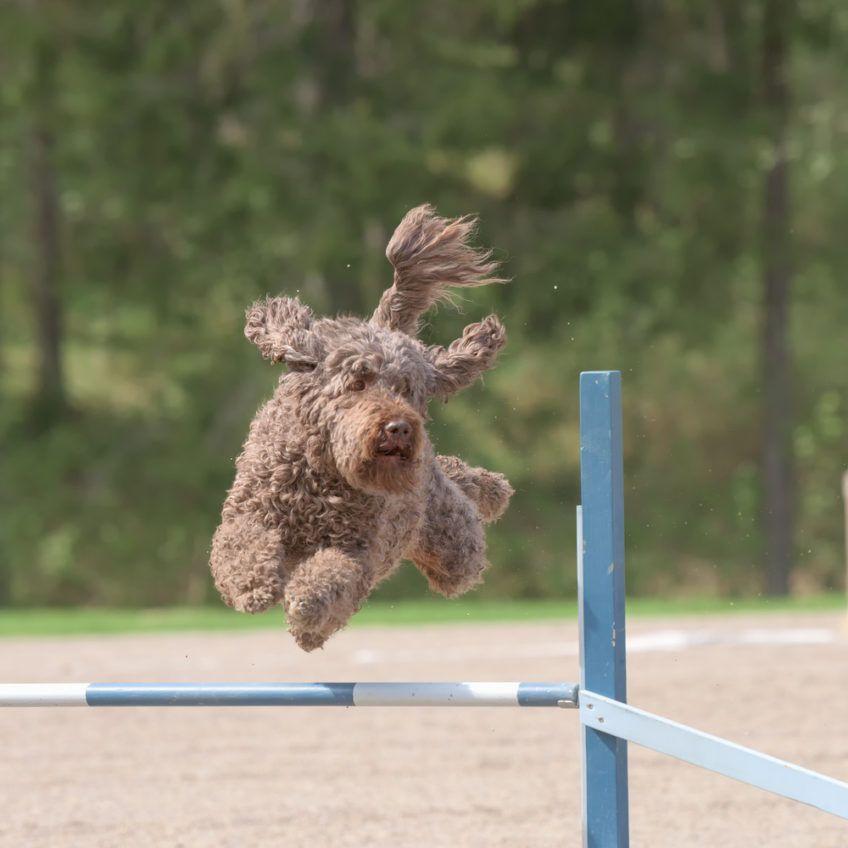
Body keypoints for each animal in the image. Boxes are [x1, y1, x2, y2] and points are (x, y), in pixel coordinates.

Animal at [209, 204, 512, 648]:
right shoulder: (252, 512)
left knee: (456, 515)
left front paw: (308, 612)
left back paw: (492, 490)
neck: (324, 470)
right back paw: (491, 488)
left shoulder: (356, 549)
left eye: (407, 388)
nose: (398, 427)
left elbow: (333, 577)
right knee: (452, 472)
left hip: (454, 542)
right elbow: (241, 545)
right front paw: (254, 585)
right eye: (357, 381)